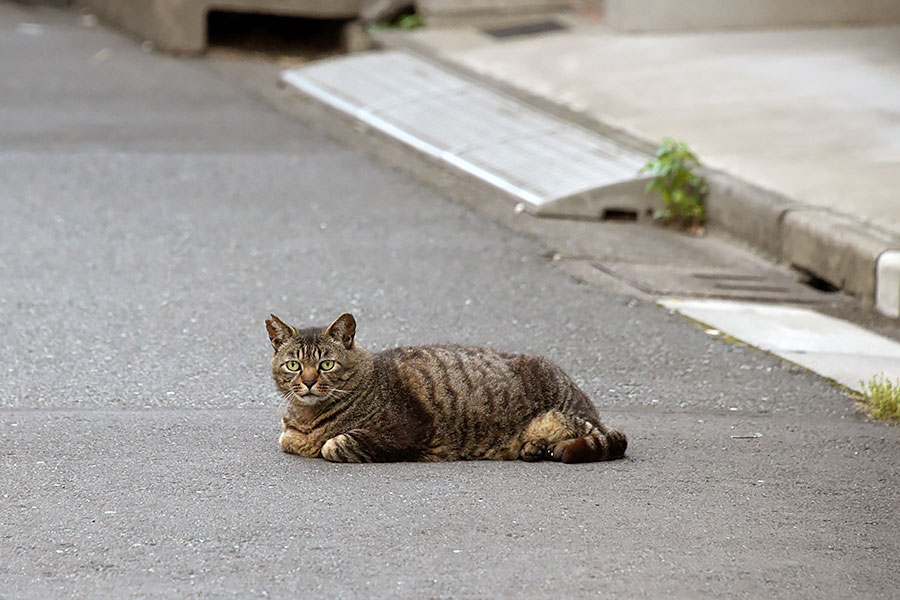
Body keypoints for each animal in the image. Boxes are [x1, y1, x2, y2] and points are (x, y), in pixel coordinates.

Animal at [268, 314, 624, 464]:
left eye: (326, 364)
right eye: (294, 365)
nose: (309, 381)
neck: (309, 416)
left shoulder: (403, 430)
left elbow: (334, 444)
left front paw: (324, 443)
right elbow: (288, 439)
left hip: (571, 416)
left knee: (608, 438)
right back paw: (534, 448)